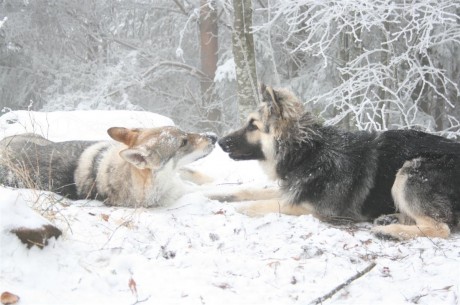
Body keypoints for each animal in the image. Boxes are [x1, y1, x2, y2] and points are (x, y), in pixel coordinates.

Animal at [0, 127, 217, 208]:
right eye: (183, 142)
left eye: (185, 132)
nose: (214, 136)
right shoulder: (178, 193)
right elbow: (211, 191)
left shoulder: (181, 176)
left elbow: (199, 176)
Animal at [218, 84, 460, 239]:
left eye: (253, 125)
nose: (219, 141)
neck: (309, 152)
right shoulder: (293, 191)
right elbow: (247, 192)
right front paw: (215, 195)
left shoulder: (311, 208)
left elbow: (257, 205)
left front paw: (233, 210)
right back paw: (390, 219)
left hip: (410, 172)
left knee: (441, 228)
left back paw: (390, 231)